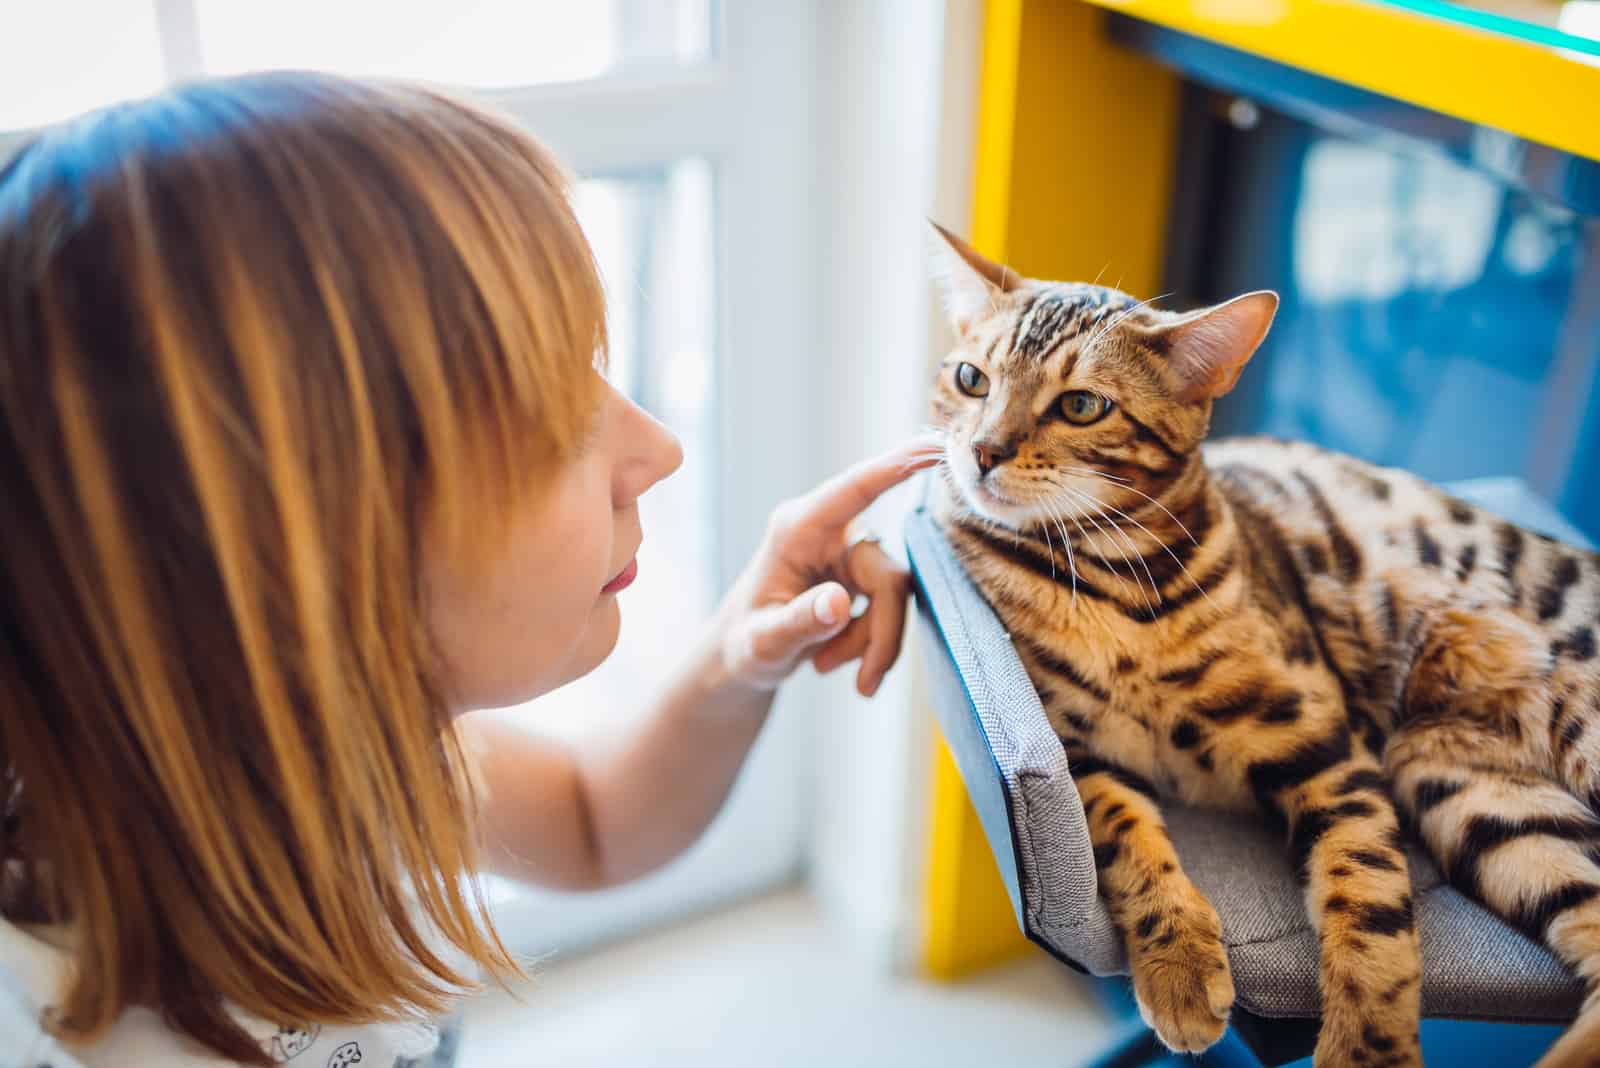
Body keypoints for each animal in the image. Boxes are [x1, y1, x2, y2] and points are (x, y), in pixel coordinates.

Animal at [921, 220, 1600, 1061]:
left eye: (1080, 405)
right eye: (971, 378)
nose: (982, 451)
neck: (1115, 584)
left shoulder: (1329, 751)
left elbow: (1367, 898)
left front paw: (1366, 1047)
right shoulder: (1078, 752)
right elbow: (1126, 835)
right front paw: (1178, 958)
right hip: (1474, 792)